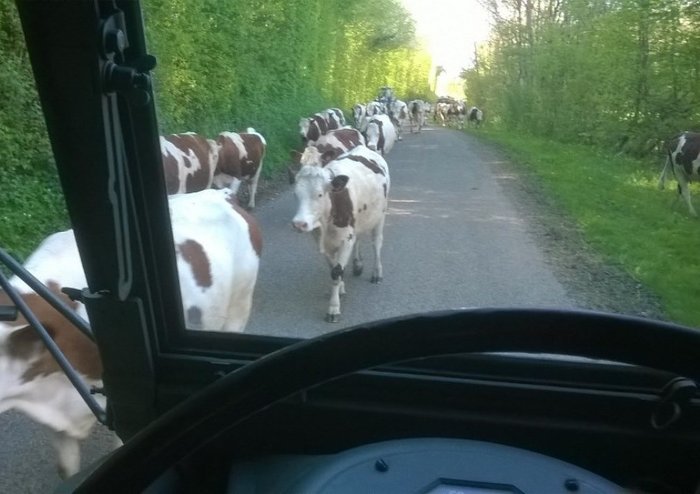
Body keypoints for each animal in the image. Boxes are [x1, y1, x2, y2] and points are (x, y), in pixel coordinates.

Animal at [291, 145, 390, 322]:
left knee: (377, 244)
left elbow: (336, 272)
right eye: (296, 194)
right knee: (358, 239)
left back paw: (377, 273)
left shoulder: (345, 240)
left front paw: (333, 308)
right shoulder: (322, 242)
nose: (299, 224)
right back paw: (358, 265)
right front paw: (341, 288)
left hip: (381, 215)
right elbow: (333, 267)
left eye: (320, 194)